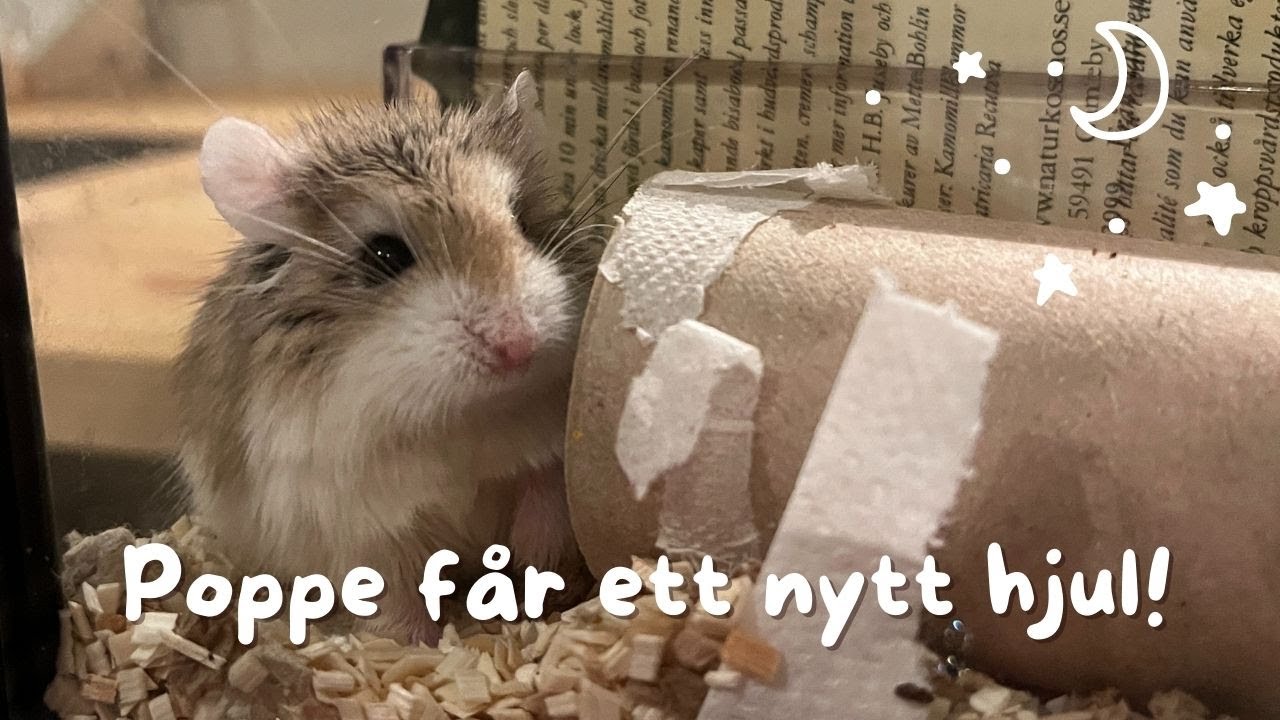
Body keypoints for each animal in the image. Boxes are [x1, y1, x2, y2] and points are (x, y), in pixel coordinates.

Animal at [175, 72, 599, 643]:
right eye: (384, 255)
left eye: (521, 220)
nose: (518, 345)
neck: (456, 418)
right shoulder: (359, 518)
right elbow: (394, 592)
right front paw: (410, 645)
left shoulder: (545, 456)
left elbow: (545, 505)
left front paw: (541, 584)